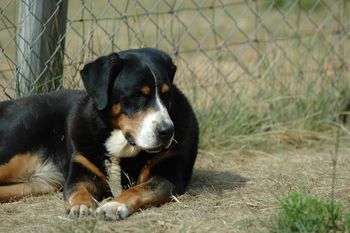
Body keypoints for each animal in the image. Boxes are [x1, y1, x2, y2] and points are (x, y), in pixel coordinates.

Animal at [0, 47, 198, 220]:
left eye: (167, 94)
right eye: (137, 95)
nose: (167, 131)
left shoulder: (167, 176)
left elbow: (137, 189)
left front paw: (114, 205)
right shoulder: (81, 171)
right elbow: (79, 189)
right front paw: (81, 206)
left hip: (39, 185)